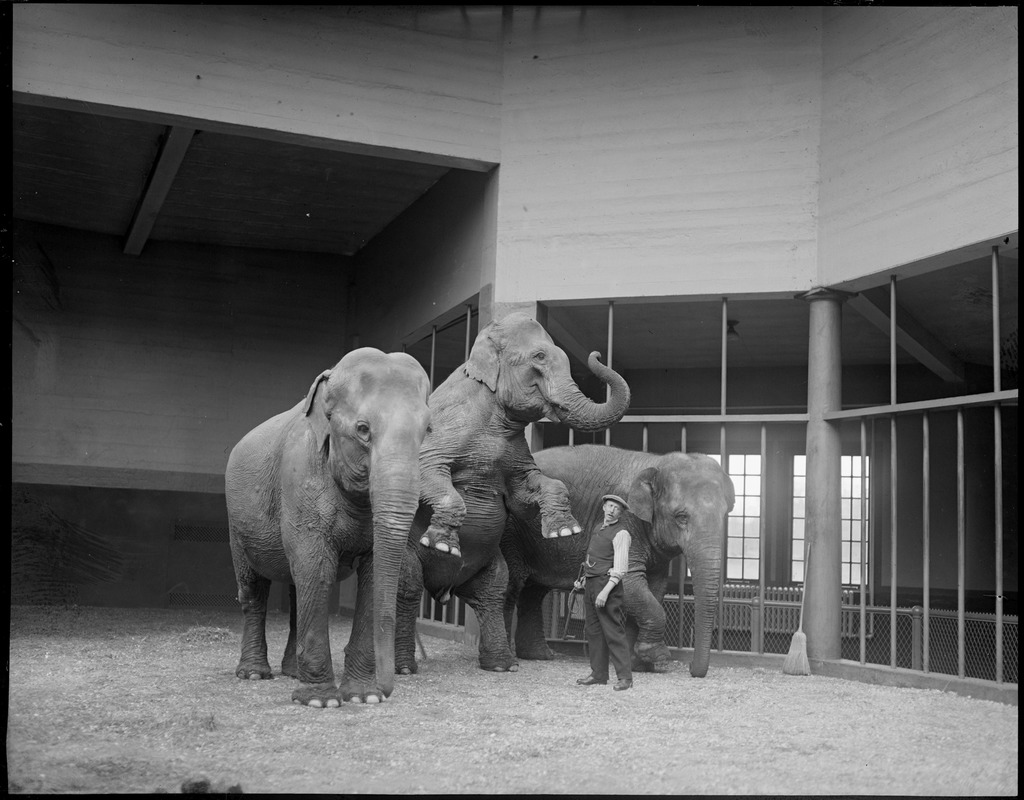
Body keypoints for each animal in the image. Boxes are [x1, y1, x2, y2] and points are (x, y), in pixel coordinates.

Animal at [224, 350, 432, 704]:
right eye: (363, 429)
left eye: (426, 431)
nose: (387, 689)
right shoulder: (299, 475)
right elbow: (316, 566)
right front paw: (322, 700)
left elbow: (371, 573)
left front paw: (363, 697)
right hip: (235, 525)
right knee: (253, 589)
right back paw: (253, 674)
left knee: (296, 590)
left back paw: (292, 672)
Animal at [391, 311, 630, 676]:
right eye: (539, 357)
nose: (598, 354)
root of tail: (443, 589)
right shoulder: (440, 434)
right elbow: (428, 475)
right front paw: (442, 543)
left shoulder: (517, 454)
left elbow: (525, 491)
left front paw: (565, 530)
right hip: (405, 554)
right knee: (407, 584)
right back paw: (404, 668)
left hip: (490, 563)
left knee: (495, 588)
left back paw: (502, 665)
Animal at [499, 446, 733, 676]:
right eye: (681, 517)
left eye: (725, 515)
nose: (692, 668)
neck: (656, 463)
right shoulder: (626, 519)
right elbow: (629, 580)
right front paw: (656, 657)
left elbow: (654, 586)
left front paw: (639, 665)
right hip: (511, 530)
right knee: (513, 585)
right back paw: (509, 661)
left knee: (534, 591)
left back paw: (540, 655)